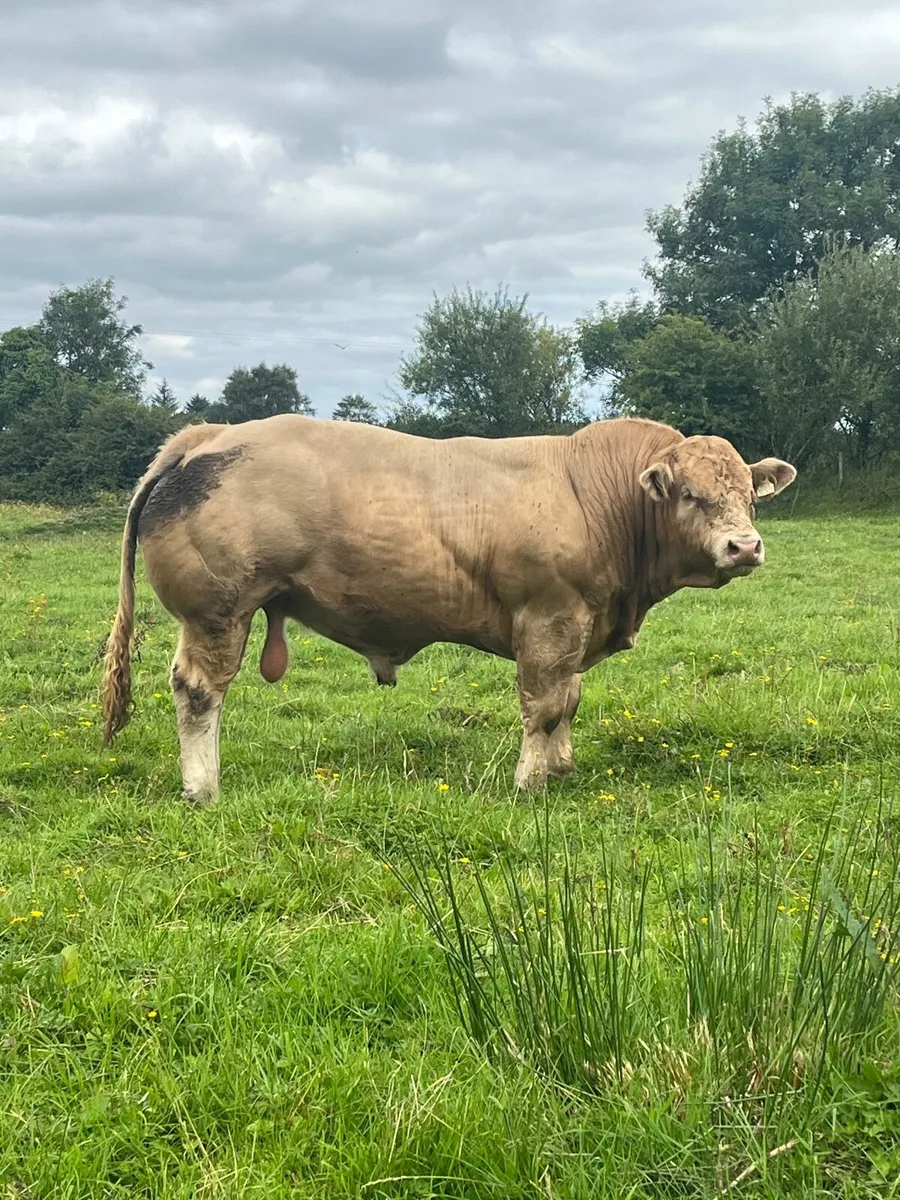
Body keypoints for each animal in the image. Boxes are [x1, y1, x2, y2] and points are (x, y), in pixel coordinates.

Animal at [101, 415, 796, 802]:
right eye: (688, 493)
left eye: (748, 495)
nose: (744, 546)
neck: (597, 497)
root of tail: (207, 437)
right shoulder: (550, 619)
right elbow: (545, 705)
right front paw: (529, 782)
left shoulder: (579, 625)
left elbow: (570, 701)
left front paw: (562, 768)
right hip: (216, 613)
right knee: (198, 692)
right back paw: (203, 788)